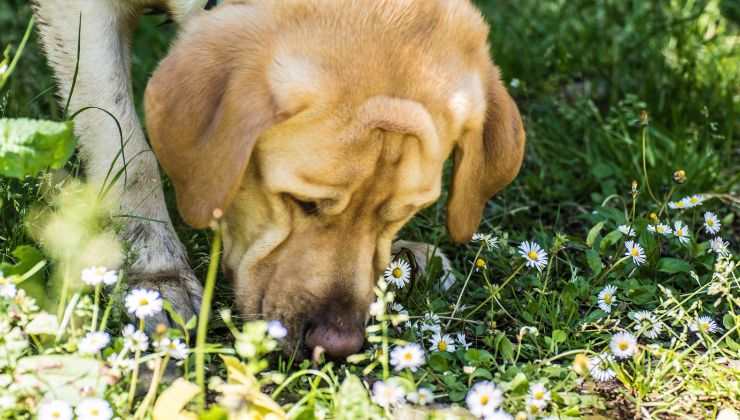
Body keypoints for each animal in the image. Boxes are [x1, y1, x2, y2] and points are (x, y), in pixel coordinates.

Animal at [30, 0, 528, 360]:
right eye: (301, 201)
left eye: (404, 214)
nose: (338, 346)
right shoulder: (82, 18)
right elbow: (130, 151)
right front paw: (154, 272)